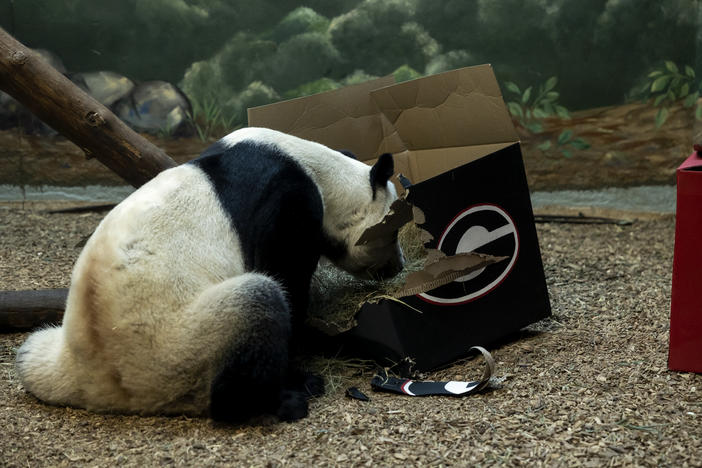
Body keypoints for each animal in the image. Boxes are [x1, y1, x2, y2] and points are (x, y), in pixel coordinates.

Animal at [13, 126, 408, 422]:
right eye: (392, 232)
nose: (399, 266)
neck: (319, 170)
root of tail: (99, 388)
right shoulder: (289, 204)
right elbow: (286, 279)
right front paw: (303, 369)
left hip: (55, 350)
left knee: (31, 351)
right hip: (178, 347)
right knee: (257, 301)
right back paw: (279, 401)